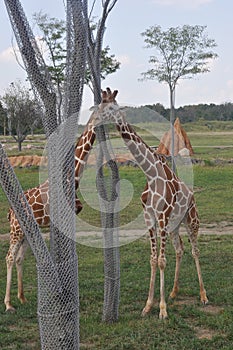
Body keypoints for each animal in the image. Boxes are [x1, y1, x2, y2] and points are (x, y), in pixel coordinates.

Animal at [4, 113, 95, 312]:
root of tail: (10, 211)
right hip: (16, 230)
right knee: (9, 257)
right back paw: (8, 304)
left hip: (27, 231)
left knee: (19, 258)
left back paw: (22, 298)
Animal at [93, 88, 208, 320]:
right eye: (100, 104)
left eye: (111, 107)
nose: (94, 120)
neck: (150, 173)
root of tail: (192, 195)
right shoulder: (149, 217)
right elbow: (154, 259)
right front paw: (148, 305)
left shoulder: (162, 215)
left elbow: (162, 260)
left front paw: (162, 310)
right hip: (174, 225)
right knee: (180, 249)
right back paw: (173, 292)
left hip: (191, 220)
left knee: (195, 251)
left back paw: (203, 296)